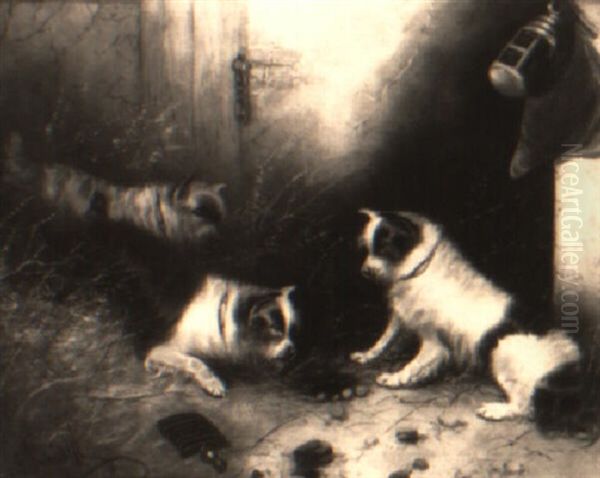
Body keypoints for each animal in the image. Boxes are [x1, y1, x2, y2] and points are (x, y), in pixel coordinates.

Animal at [144, 274, 298, 398]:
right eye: (276, 330)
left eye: (291, 330)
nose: (291, 351)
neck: (220, 318)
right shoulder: (161, 348)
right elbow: (194, 362)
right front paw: (213, 383)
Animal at [352, 211, 580, 420]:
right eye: (367, 249)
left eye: (385, 248)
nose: (365, 271)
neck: (420, 267)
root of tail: (568, 360)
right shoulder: (402, 317)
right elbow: (385, 339)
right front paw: (366, 355)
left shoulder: (433, 341)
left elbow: (414, 364)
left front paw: (395, 378)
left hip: (503, 352)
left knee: (525, 406)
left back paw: (495, 410)